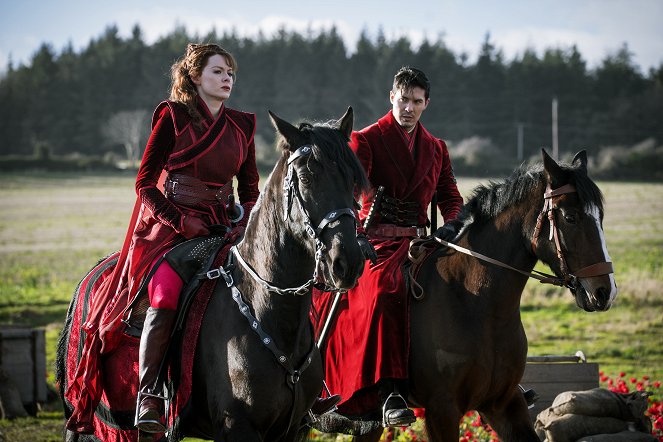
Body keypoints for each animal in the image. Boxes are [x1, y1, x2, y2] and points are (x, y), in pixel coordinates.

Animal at [57, 108, 368, 442]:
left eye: (352, 180)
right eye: (307, 178)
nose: (347, 261)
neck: (267, 309)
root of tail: (96, 272)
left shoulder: (291, 429)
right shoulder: (236, 426)